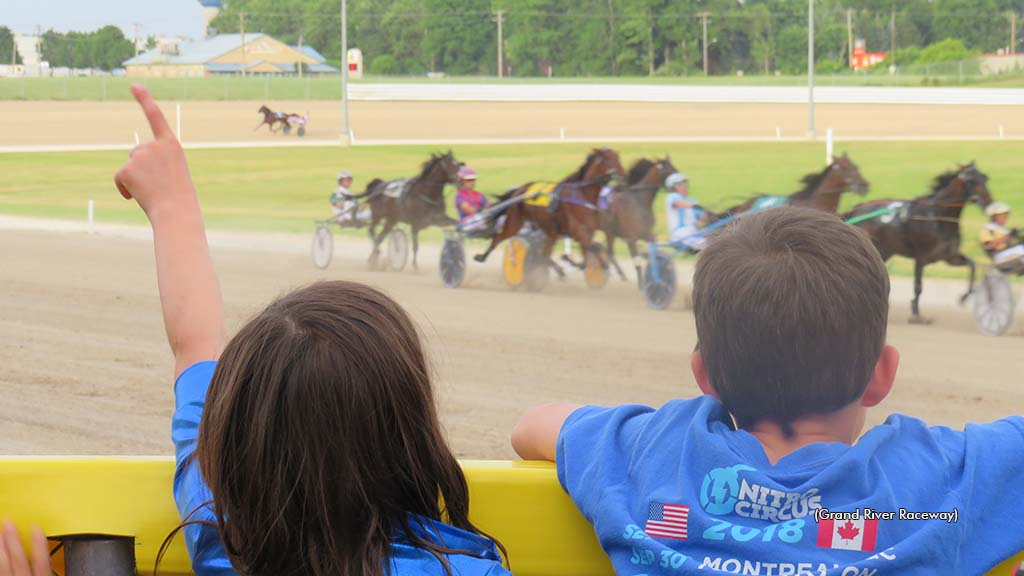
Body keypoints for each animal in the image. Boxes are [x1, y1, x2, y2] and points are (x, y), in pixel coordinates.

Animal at [471, 146, 622, 278]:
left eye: (618, 157)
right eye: (609, 159)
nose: (622, 174)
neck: (582, 193)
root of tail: (519, 190)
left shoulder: (588, 230)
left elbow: (589, 251)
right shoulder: (575, 230)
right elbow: (591, 248)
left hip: (548, 229)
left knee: (545, 253)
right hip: (514, 223)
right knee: (498, 237)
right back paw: (481, 257)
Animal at [602, 154, 675, 284]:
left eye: (675, 168)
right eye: (668, 171)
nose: (680, 183)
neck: (640, 202)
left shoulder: (649, 235)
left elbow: (654, 255)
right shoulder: (631, 239)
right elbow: (637, 263)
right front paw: (641, 284)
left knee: (607, 251)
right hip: (608, 232)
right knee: (608, 252)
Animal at [839, 161, 991, 323]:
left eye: (985, 178)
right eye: (971, 181)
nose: (988, 203)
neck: (937, 217)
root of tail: (857, 209)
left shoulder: (949, 256)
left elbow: (972, 265)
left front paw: (964, 297)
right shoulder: (921, 256)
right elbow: (918, 286)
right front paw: (917, 314)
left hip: (883, 252)